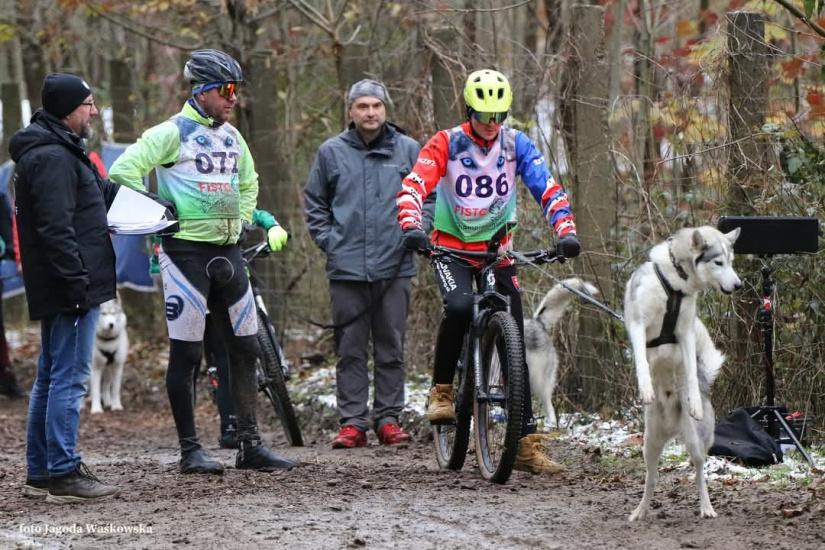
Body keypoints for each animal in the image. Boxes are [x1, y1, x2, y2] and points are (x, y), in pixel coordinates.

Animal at [624, 227, 740, 520]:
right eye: (718, 262)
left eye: (731, 261)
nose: (739, 285)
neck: (675, 285)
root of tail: (671, 427)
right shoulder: (638, 326)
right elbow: (641, 361)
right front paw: (645, 388)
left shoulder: (685, 332)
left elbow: (689, 370)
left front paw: (694, 403)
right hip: (649, 445)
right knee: (651, 478)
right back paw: (641, 510)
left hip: (696, 443)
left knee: (699, 474)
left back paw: (706, 507)